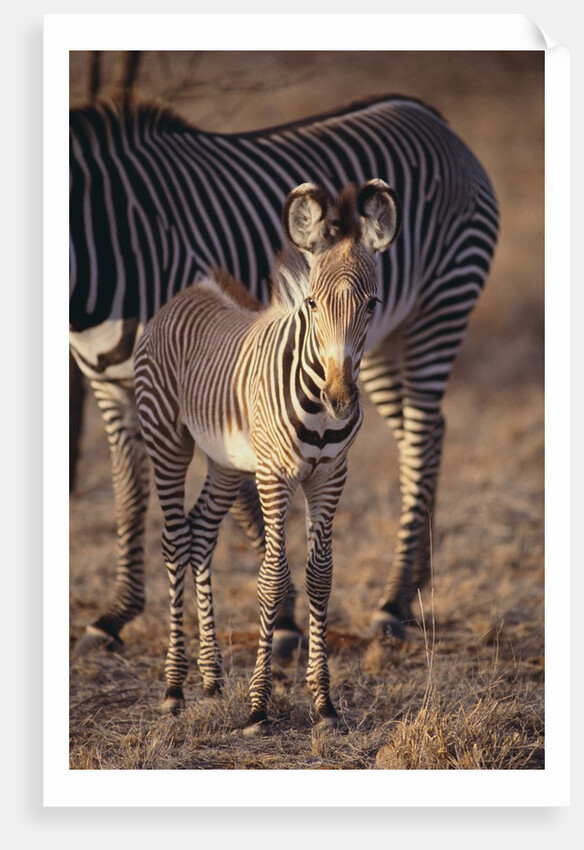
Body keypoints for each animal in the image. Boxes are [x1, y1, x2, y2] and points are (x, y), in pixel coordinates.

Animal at [69, 93, 499, 654]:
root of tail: (429, 115)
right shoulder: (116, 389)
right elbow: (128, 496)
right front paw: (116, 613)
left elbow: (245, 503)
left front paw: (288, 618)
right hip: (383, 347)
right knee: (423, 432)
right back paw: (414, 587)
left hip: (439, 308)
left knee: (423, 437)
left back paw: (392, 600)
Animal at [134, 179, 400, 728]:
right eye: (314, 305)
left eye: (372, 304)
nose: (341, 398)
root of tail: (191, 291)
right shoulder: (275, 476)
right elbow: (272, 578)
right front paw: (259, 704)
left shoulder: (330, 475)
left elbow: (320, 576)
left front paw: (323, 702)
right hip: (167, 440)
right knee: (174, 541)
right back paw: (174, 687)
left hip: (224, 462)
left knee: (200, 533)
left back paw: (211, 679)